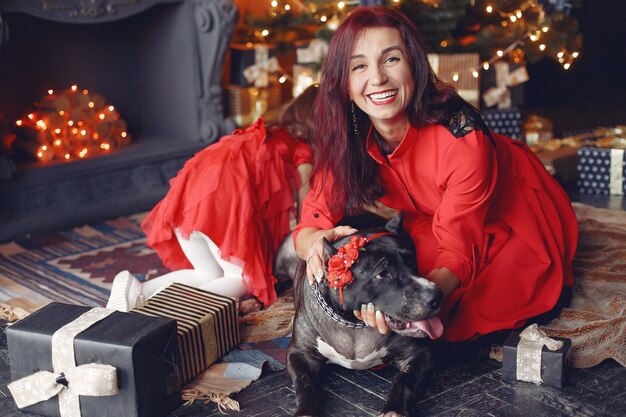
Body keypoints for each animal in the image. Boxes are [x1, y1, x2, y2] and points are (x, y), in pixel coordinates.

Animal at [274, 214, 444, 416]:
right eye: (382, 274)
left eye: (411, 261)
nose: (436, 295)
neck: (352, 323)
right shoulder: (299, 354)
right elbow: (303, 383)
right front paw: (306, 410)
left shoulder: (421, 354)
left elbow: (404, 380)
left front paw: (394, 409)